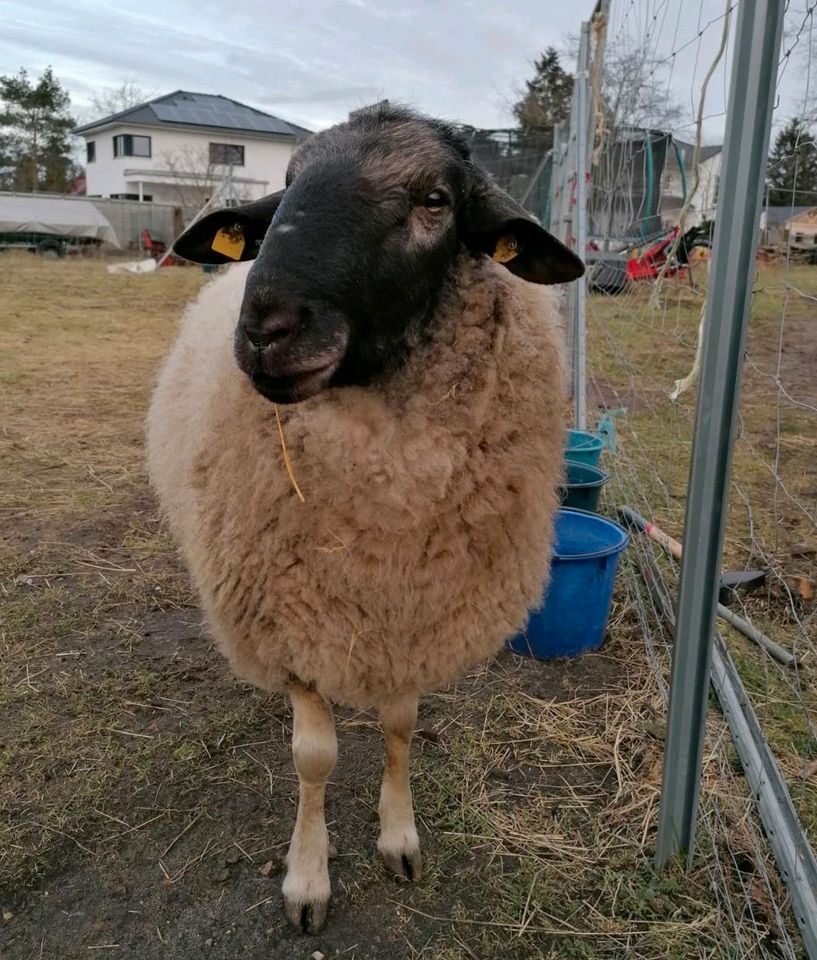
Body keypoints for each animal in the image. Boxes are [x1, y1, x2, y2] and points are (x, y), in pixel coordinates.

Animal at [145, 103, 580, 928]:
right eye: (285, 184)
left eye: (434, 201)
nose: (266, 326)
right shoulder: (289, 620)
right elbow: (314, 757)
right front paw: (307, 878)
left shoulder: (413, 614)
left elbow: (399, 725)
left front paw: (399, 838)